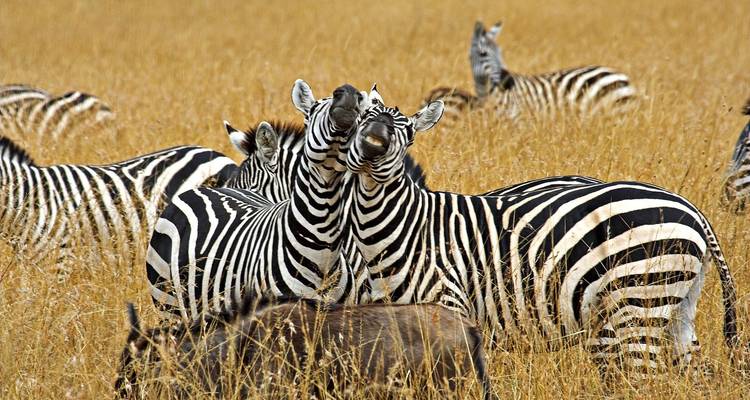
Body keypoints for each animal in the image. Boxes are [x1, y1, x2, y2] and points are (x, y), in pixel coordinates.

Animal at [344, 87, 742, 376]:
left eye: (407, 132)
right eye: (364, 119)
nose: (375, 140)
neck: (402, 227)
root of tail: (693, 210)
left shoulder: (448, 304)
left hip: (638, 299)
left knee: (643, 377)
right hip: (676, 304)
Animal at [470, 21, 636, 120]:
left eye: (500, 52)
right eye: (483, 54)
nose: (508, 82)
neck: (486, 92)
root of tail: (622, 76)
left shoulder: (519, 120)